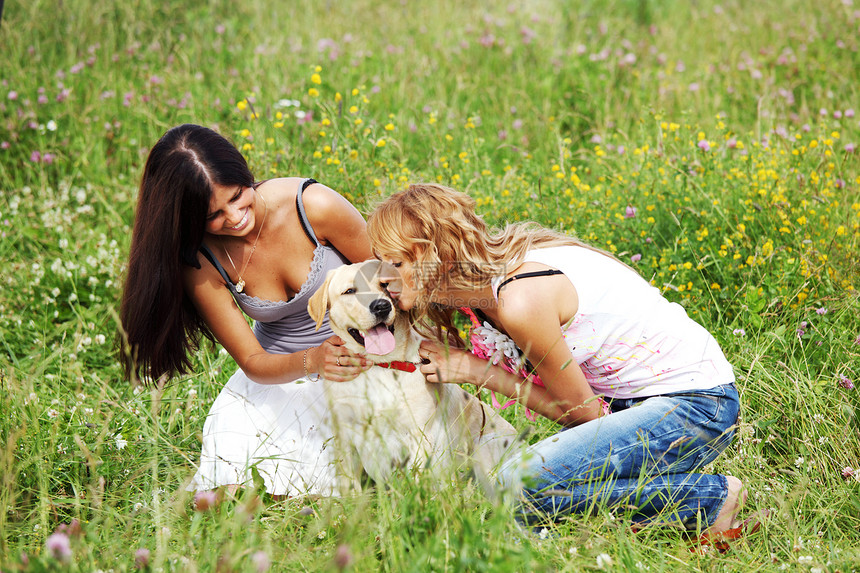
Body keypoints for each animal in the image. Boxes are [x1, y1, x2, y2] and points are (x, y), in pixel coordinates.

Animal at [312, 260, 520, 492]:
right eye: (349, 291)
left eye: (385, 285)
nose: (381, 306)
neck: (380, 365)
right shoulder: (345, 437)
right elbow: (349, 487)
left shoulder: (417, 435)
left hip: (484, 449)